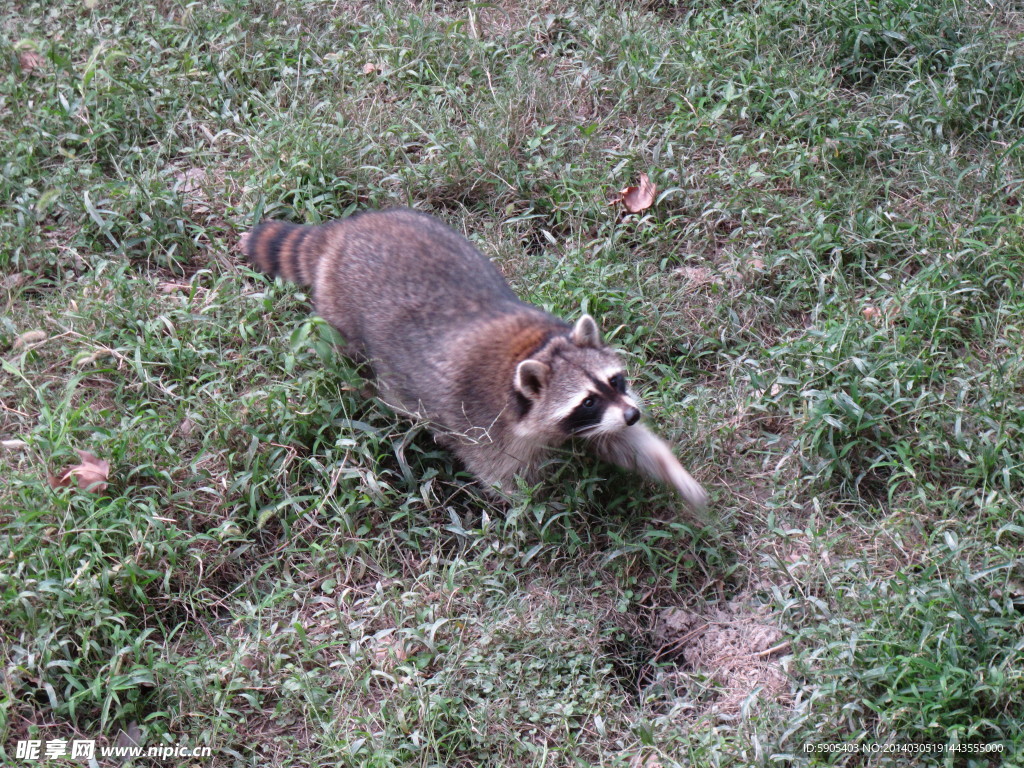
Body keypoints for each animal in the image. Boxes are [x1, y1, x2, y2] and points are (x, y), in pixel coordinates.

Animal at [241, 210, 704, 512]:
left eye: (616, 381)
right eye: (586, 401)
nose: (633, 413)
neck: (537, 349)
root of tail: (343, 232)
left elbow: (623, 443)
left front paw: (671, 470)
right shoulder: (484, 426)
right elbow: (505, 479)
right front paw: (543, 508)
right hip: (342, 318)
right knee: (356, 363)